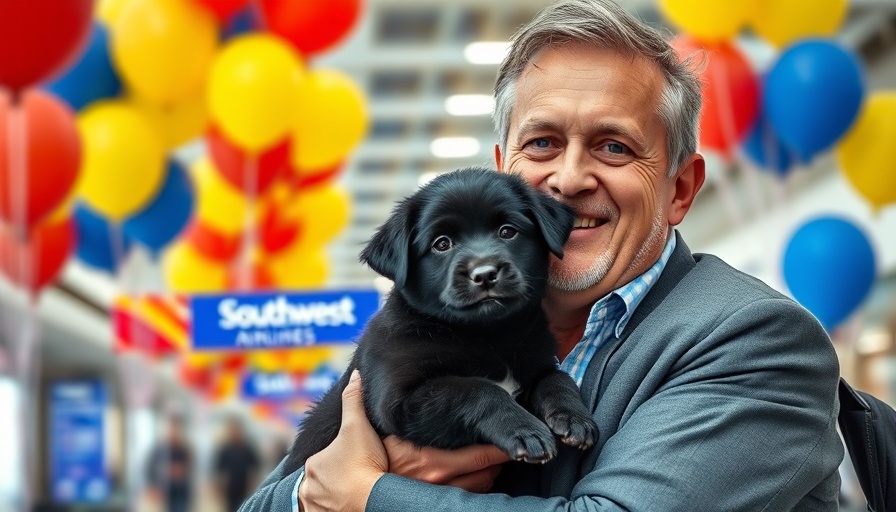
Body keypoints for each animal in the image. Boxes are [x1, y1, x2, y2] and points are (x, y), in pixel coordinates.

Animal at [284, 166, 600, 474]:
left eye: (507, 231)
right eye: (442, 244)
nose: (485, 274)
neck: (489, 334)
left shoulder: (536, 360)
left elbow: (555, 377)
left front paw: (574, 418)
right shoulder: (398, 401)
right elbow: (473, 389)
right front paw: (525, 431)